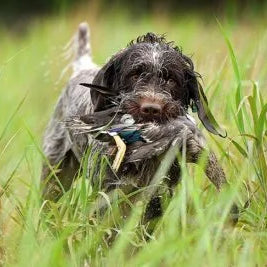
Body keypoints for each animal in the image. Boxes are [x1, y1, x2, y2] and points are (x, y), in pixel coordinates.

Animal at [41, 24, 230, 222]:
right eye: (134, 75)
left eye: (171, 80)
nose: (152, 109)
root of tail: (82, 69)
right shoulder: (106, 189)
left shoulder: (159, 194)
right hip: (54, 172)